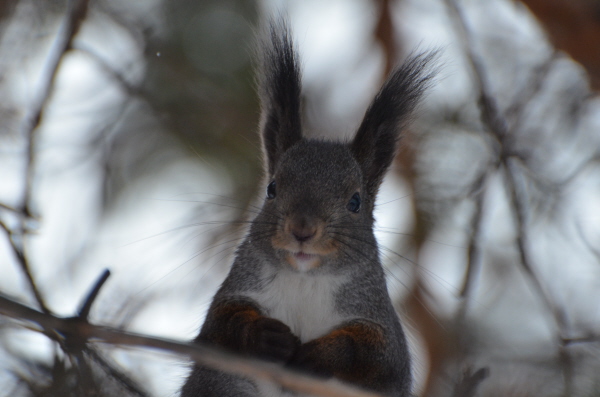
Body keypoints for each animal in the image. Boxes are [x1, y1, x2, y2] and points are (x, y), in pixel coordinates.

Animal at [180, 18, 434, 396]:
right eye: (271, 189)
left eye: (355, 202)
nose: (302, 230)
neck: (305, 280)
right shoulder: (230, 300)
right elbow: (222, 325)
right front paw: (264, 334)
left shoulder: (381, 325)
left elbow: (374, 353)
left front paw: (321, 354)